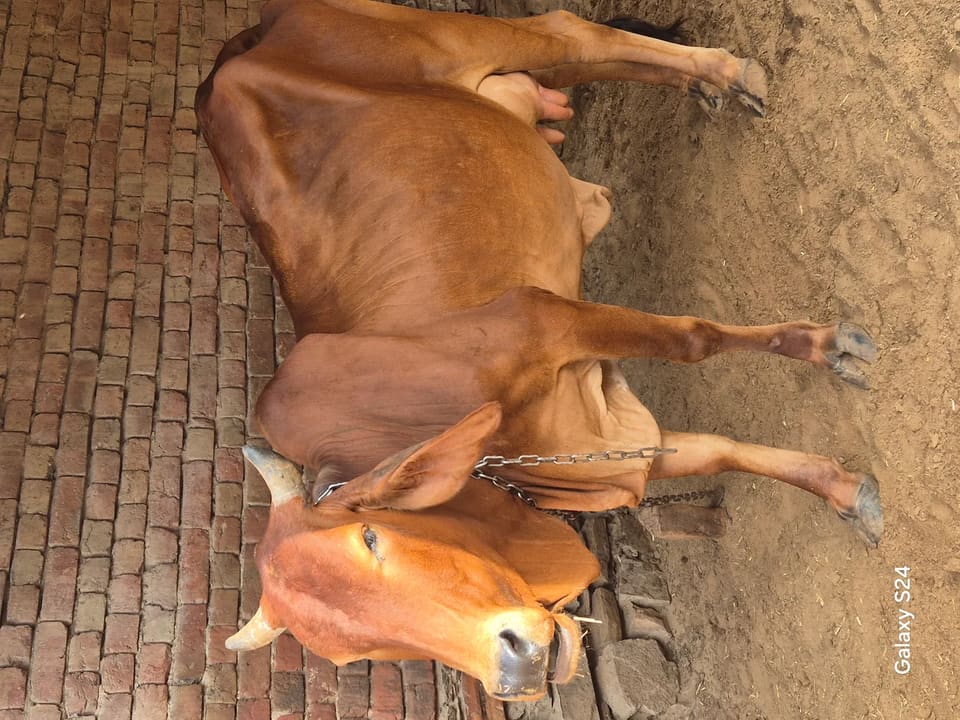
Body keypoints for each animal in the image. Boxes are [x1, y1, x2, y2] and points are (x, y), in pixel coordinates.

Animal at [196, 0, 882, 701]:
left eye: (372, 537)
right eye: (356, 650)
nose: (517, 665)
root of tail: (246, 39)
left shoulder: (550, 320)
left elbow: (695, 338)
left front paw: (828, 345)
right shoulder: (611, 444)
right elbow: (720, 453)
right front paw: (842, 489)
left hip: (455, 39)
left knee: (569, 33)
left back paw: (729, 72)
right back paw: (709, 85)